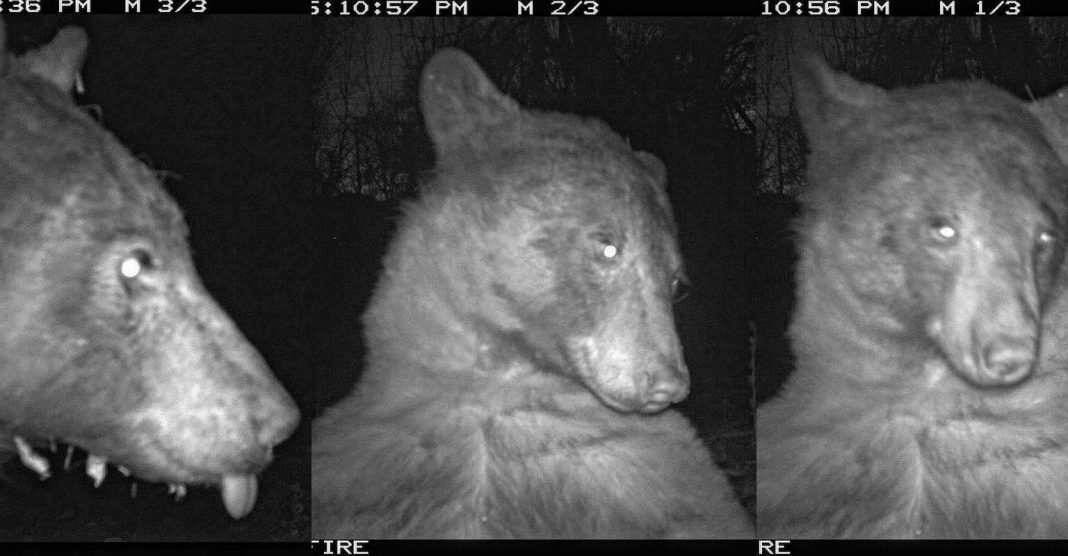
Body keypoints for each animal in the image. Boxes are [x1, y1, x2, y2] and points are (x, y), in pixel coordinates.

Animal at [309, 48, 751, 537]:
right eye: (609, 246)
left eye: (675, 282)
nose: (669, 382)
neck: (501, 380)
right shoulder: (367, 461)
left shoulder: (650, 474)